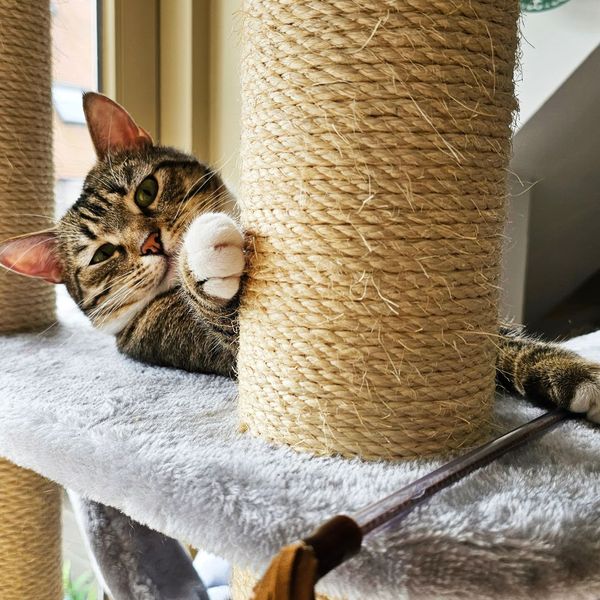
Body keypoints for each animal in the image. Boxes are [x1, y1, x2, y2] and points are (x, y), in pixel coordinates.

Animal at [1, 91, 600, 424]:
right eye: (104, 254)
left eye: (145, 192)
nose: (152, 243)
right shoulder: (213, 346)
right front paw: (206, 255)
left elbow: (510, 344)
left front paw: (574, 375)